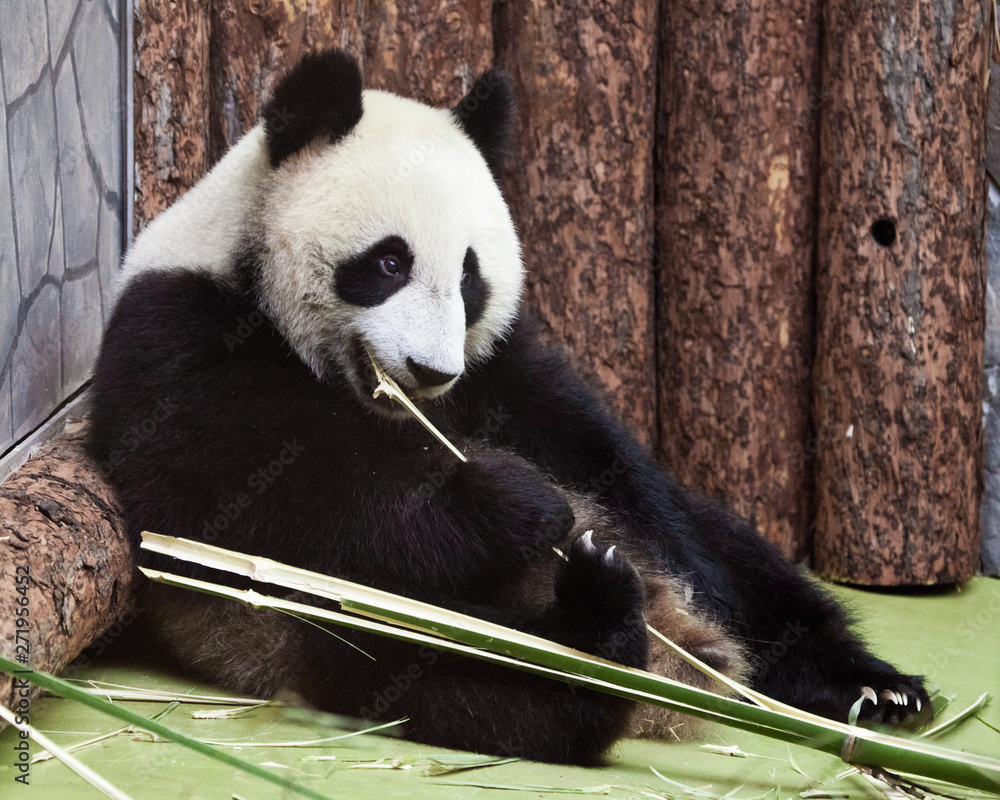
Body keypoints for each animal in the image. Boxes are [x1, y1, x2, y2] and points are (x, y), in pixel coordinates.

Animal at [86, 49, 931, 764]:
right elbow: (271, 490)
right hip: (322, 626)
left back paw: (866, 685)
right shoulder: (178, 340)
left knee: (738, 557)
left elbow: (602, 453)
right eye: (388, 263)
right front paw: (515, 505)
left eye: (469, 275)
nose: (429, 372)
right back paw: (597, 633)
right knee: (452, 670)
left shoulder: (500, 370)